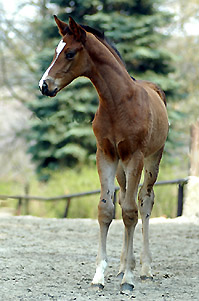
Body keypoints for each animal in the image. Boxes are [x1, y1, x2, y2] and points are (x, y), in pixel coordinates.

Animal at [39, 16, 169, 290]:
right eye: (55, 50)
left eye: (69, 53)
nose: (44, 85)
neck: (118, 102)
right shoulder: (106, 155)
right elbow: (106, 210)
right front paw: (100, 275)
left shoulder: (135, 156)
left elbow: (131, 212)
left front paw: (129, 279)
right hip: (121, 168)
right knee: (124, 200)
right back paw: (121, 268)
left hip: (152, 160)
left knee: (145, 202)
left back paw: (145, 269)